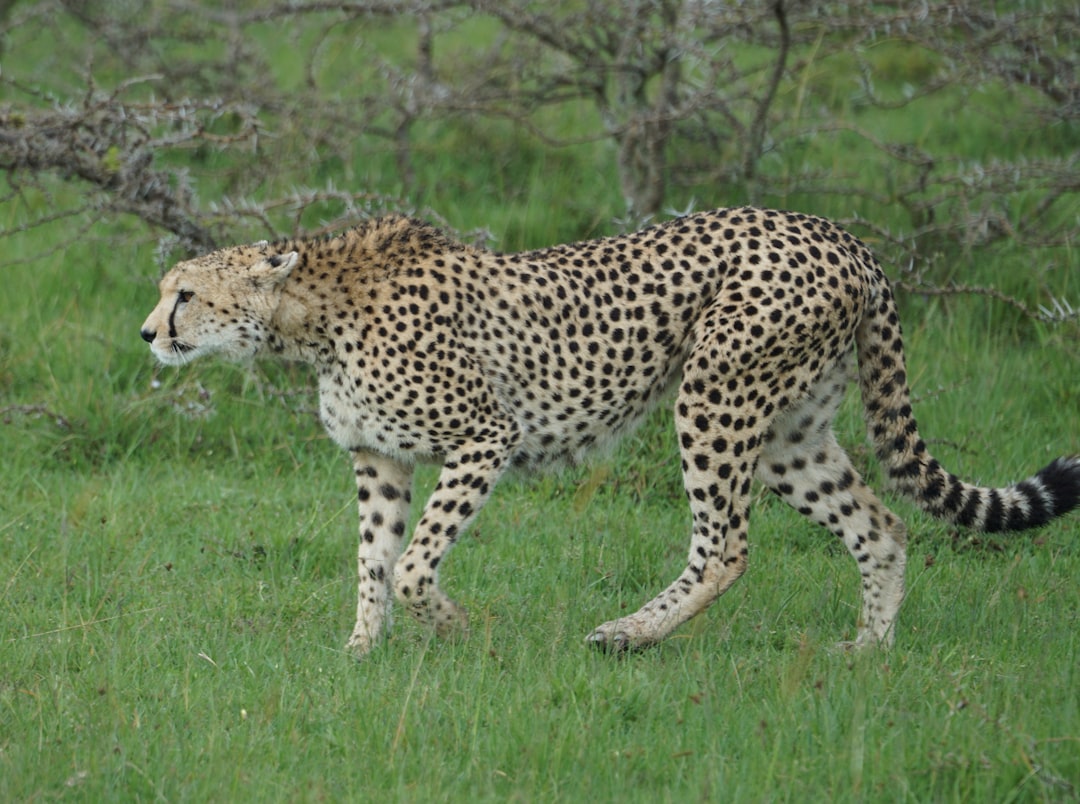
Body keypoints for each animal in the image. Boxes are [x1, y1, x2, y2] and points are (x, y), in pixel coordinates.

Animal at [140, 207, 1080, 656]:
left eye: (185, 293)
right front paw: (360, 652)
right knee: (882, 525)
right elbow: (373, 562)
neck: (309, 316)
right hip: (790, 432)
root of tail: (840, 236)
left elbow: (410, 566)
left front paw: (457, 629)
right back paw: (868, 651)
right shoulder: (380, 460)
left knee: (726, 546)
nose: (148, 333)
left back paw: (628, 634)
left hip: (713, 398)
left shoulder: (483, 436)